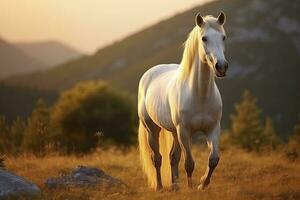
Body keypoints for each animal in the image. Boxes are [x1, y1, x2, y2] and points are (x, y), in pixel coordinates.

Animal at [138, 12, 227, 191]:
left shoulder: (213, 128)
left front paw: (202, 184)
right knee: (157, 158)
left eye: (223, 37)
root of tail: (148, 74)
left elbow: (213, 159)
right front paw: (191, 188)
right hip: (152, 129)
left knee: (173, 157)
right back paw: (160, 187)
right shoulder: (184, 132)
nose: (221, 67)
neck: (199, 95)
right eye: (204, 38)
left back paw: (175, 186)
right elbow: (189, 163)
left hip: (174, 131)